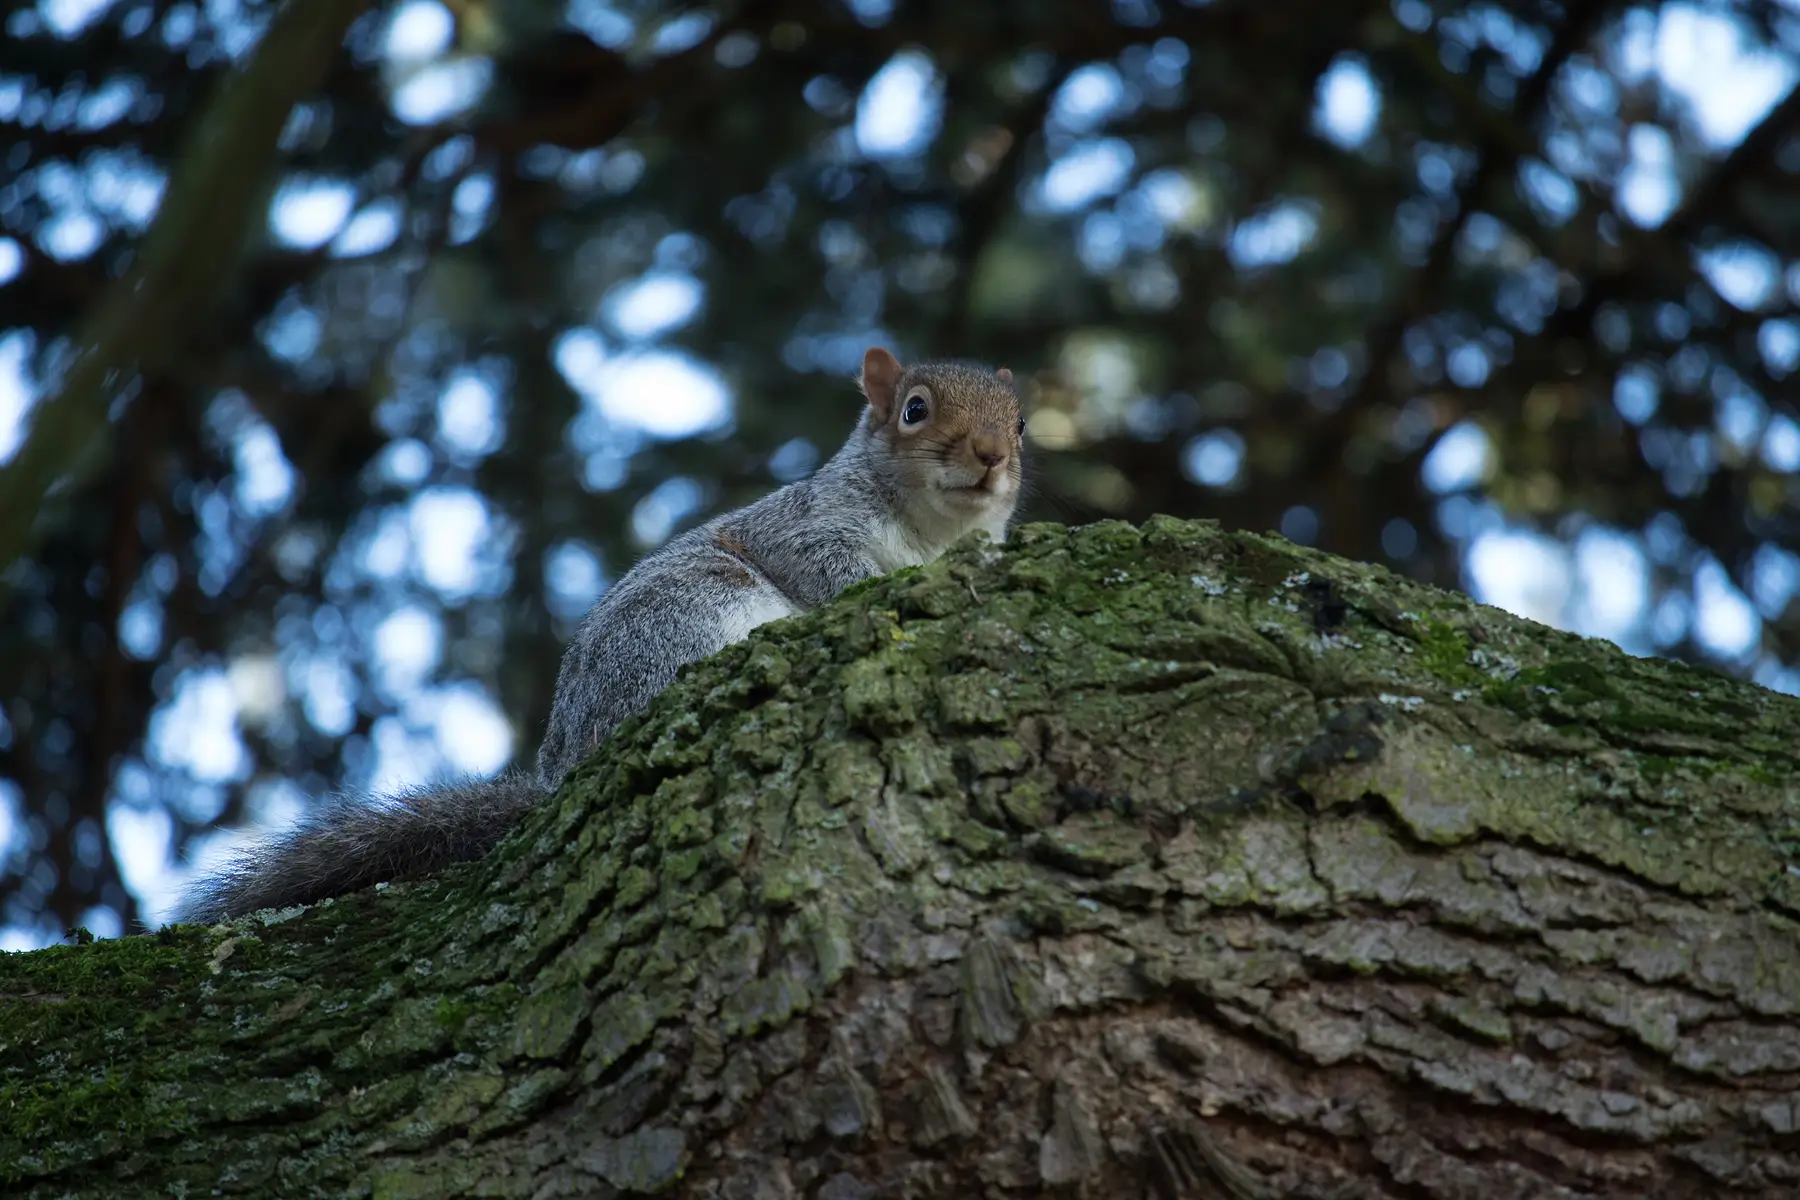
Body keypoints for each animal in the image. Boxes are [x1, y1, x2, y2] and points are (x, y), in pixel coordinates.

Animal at [173, 347, 1025, 922]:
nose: (991, 456)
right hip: (688, 613)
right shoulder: (806, 531)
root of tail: (561, 771)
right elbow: (834, 573)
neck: (932, 532)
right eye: (915, 410)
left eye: (1019, 424)